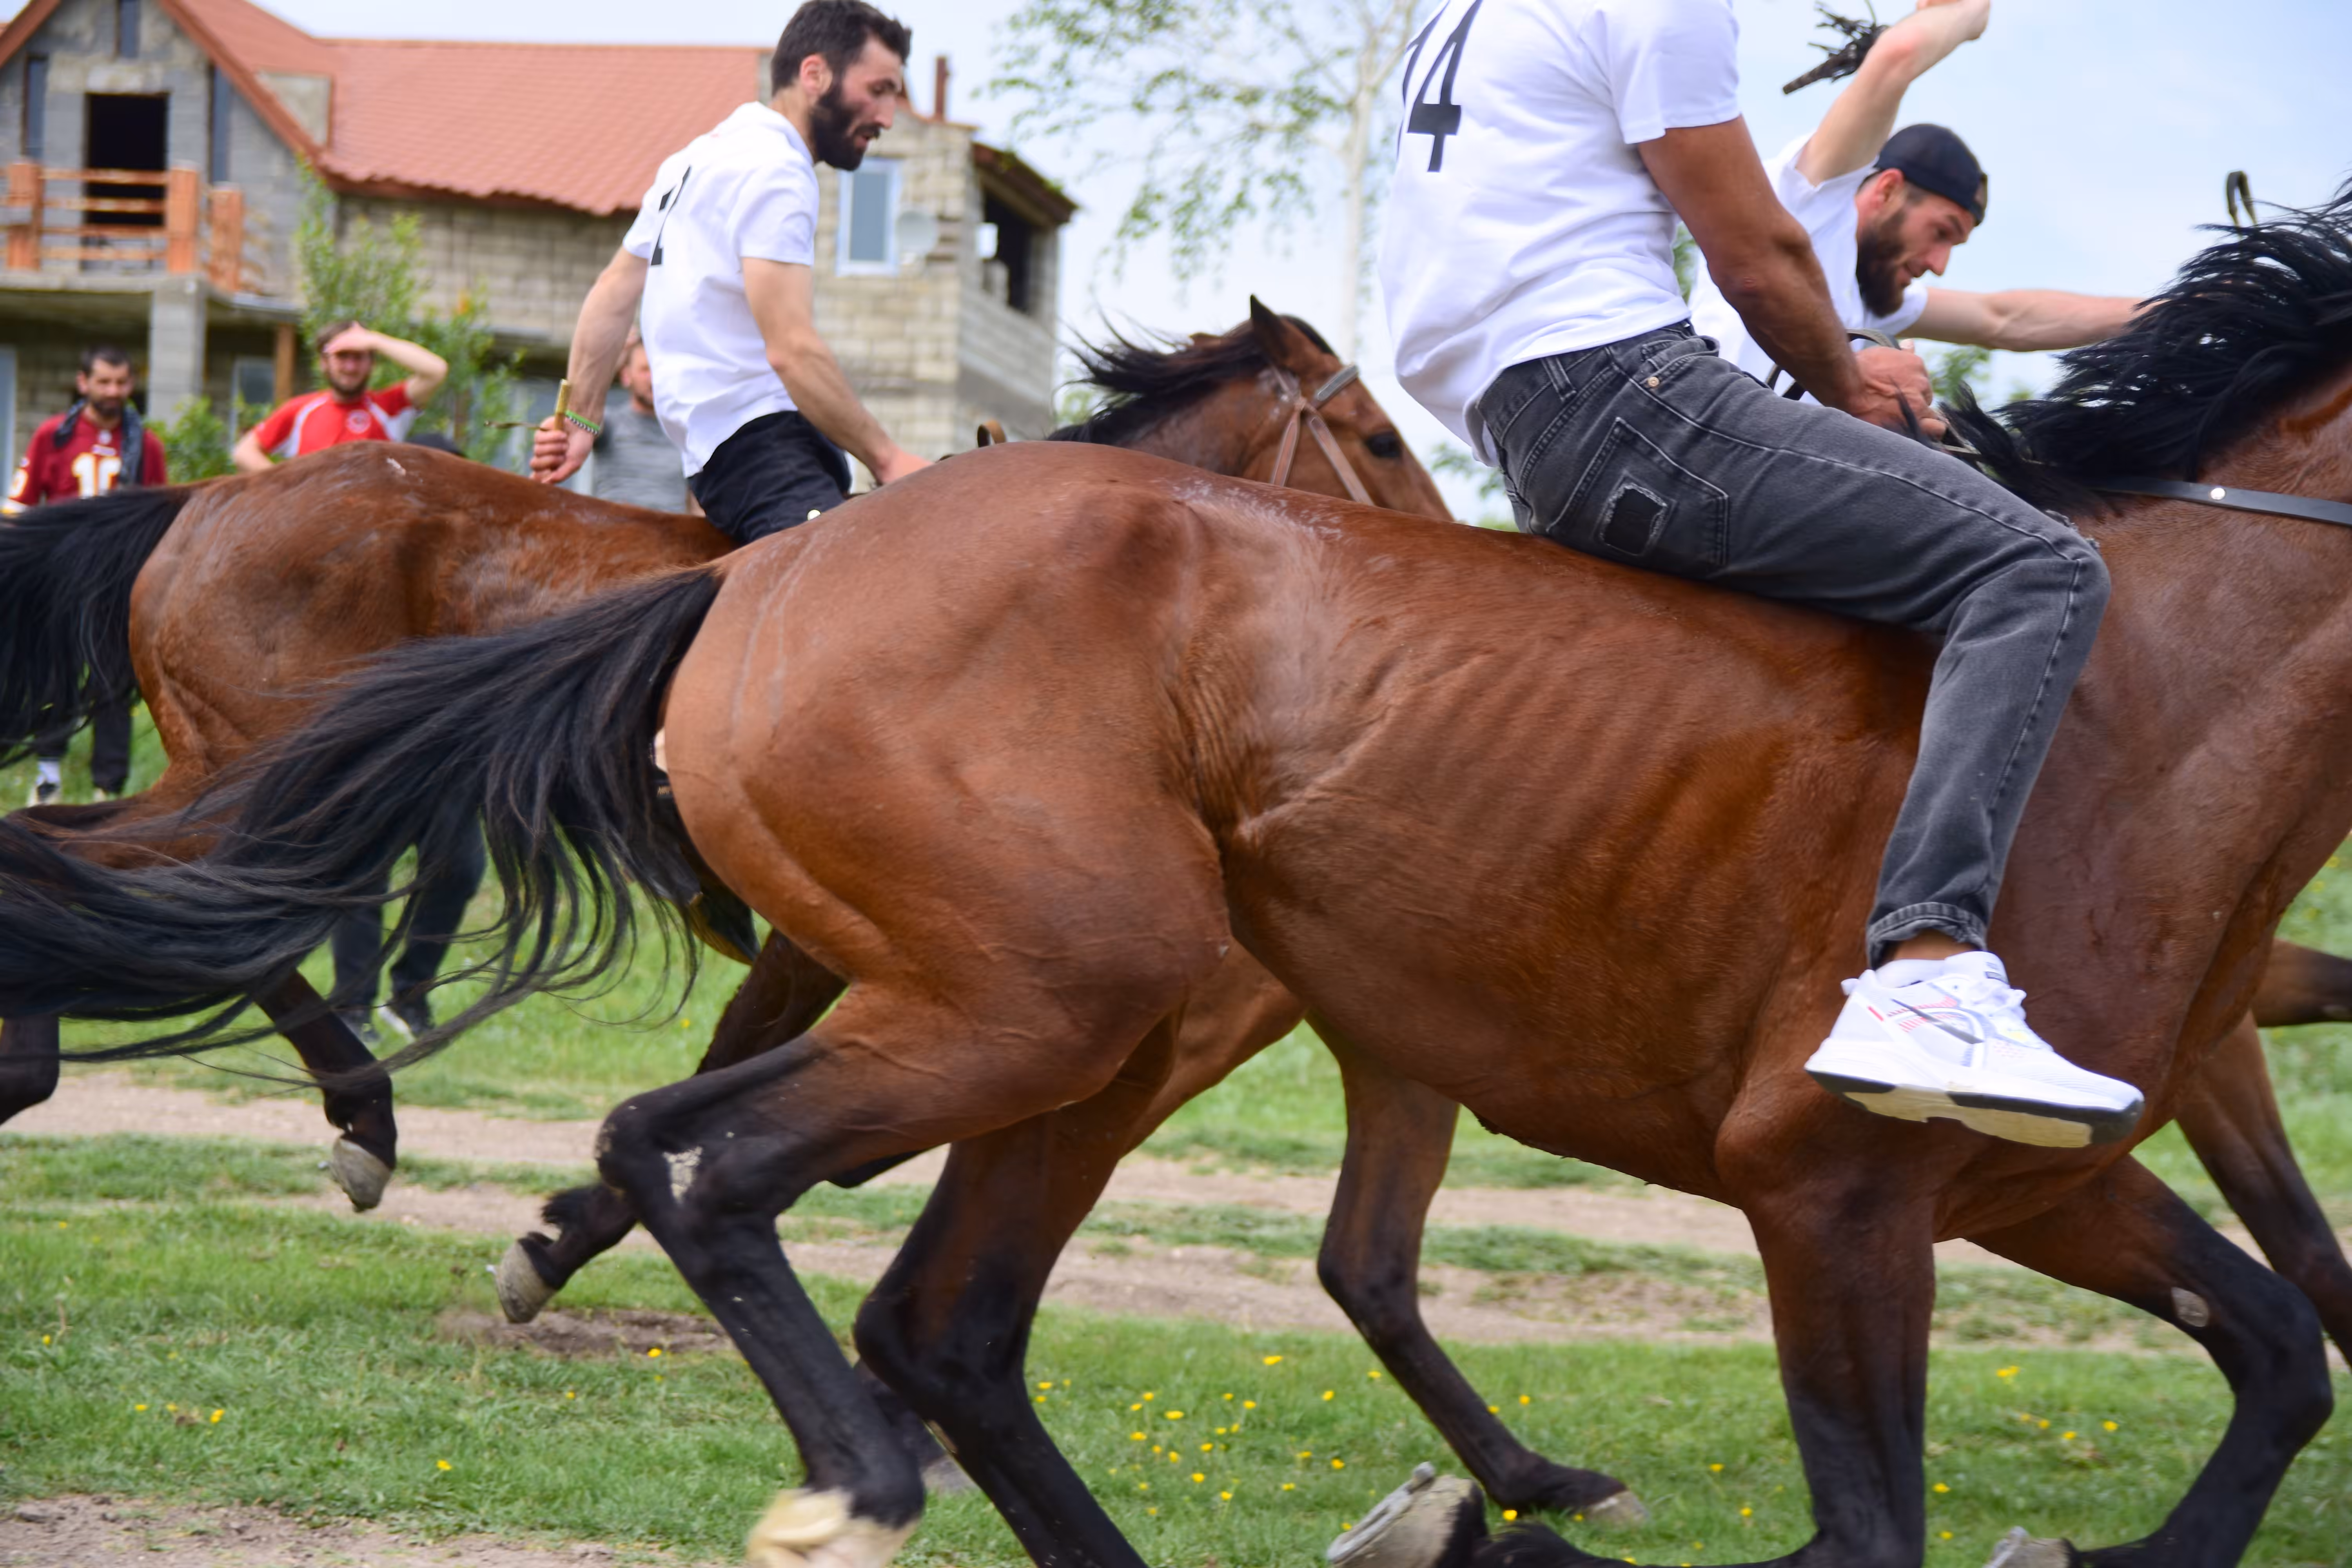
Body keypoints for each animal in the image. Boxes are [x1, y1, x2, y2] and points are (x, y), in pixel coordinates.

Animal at [6, 189, 2352, 1567]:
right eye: (1373, 437)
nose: (1436, 497)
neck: (2128, 695)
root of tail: (762, 583)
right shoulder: (1833, 1189)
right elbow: (1903, 1506)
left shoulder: (2030, 1181)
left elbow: (2276, 1347)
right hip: (1066, 991)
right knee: (717, 1164)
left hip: (1101, 1022)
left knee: (951, 1309)